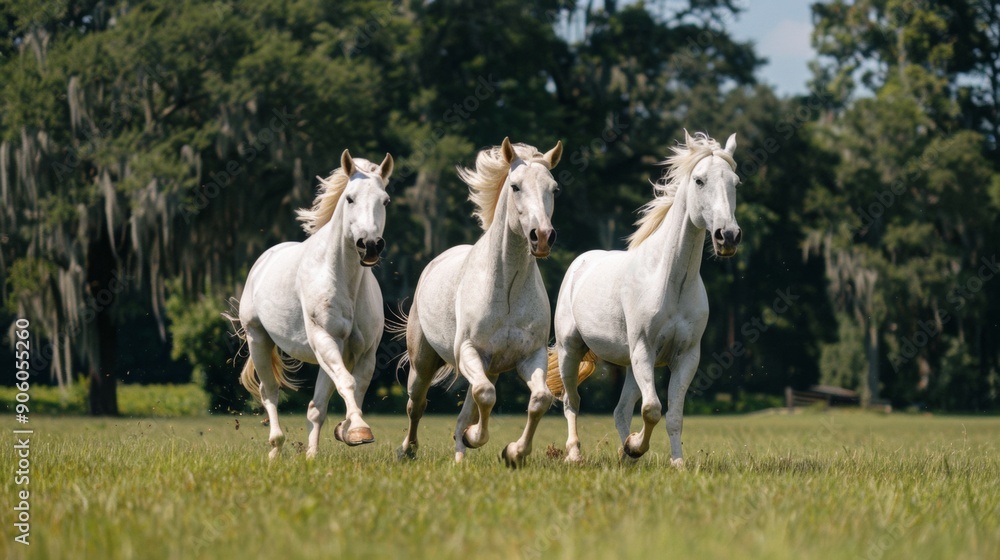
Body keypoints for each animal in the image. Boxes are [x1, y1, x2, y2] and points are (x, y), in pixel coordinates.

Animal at [236, 149, 393, 459]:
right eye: (350, 198)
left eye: (385, 200)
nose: (369, 245)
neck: (343, 279)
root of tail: (262, 262)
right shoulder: (325, 338)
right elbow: (348, 383)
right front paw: (358, 430)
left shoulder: (365, 352)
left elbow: (354, 388)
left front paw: (346, 430)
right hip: (258, 339)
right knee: (270, 393)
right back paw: (275, 448)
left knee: (315, 408)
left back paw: (311, 456)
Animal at [396, 137, 563, 467]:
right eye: (515, 186)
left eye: (554, 189)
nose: (541, 237)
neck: (508, 289)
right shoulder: (468, 351)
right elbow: (485, 395)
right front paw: (476, 437)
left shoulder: (530, 356)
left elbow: (539, 399)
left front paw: (513, 452)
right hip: (423, 364)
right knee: (416, 404)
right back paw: (408, 450)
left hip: (491, 366)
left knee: (467, 407)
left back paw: (461, 455)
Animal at [546, 130, 741, 467]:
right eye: (699, 180)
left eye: (736, 182)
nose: (727, 236)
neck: (670, 281)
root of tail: (579, 264)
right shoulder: (644, 350)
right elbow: (652, 409)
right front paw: (637, 445)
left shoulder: (686, 356)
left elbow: (673, 415)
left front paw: (674, 463)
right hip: (571, 349)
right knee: (572, 401)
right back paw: (575, 454)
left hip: (629, 364)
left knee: (620, 410)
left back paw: (626, 456)